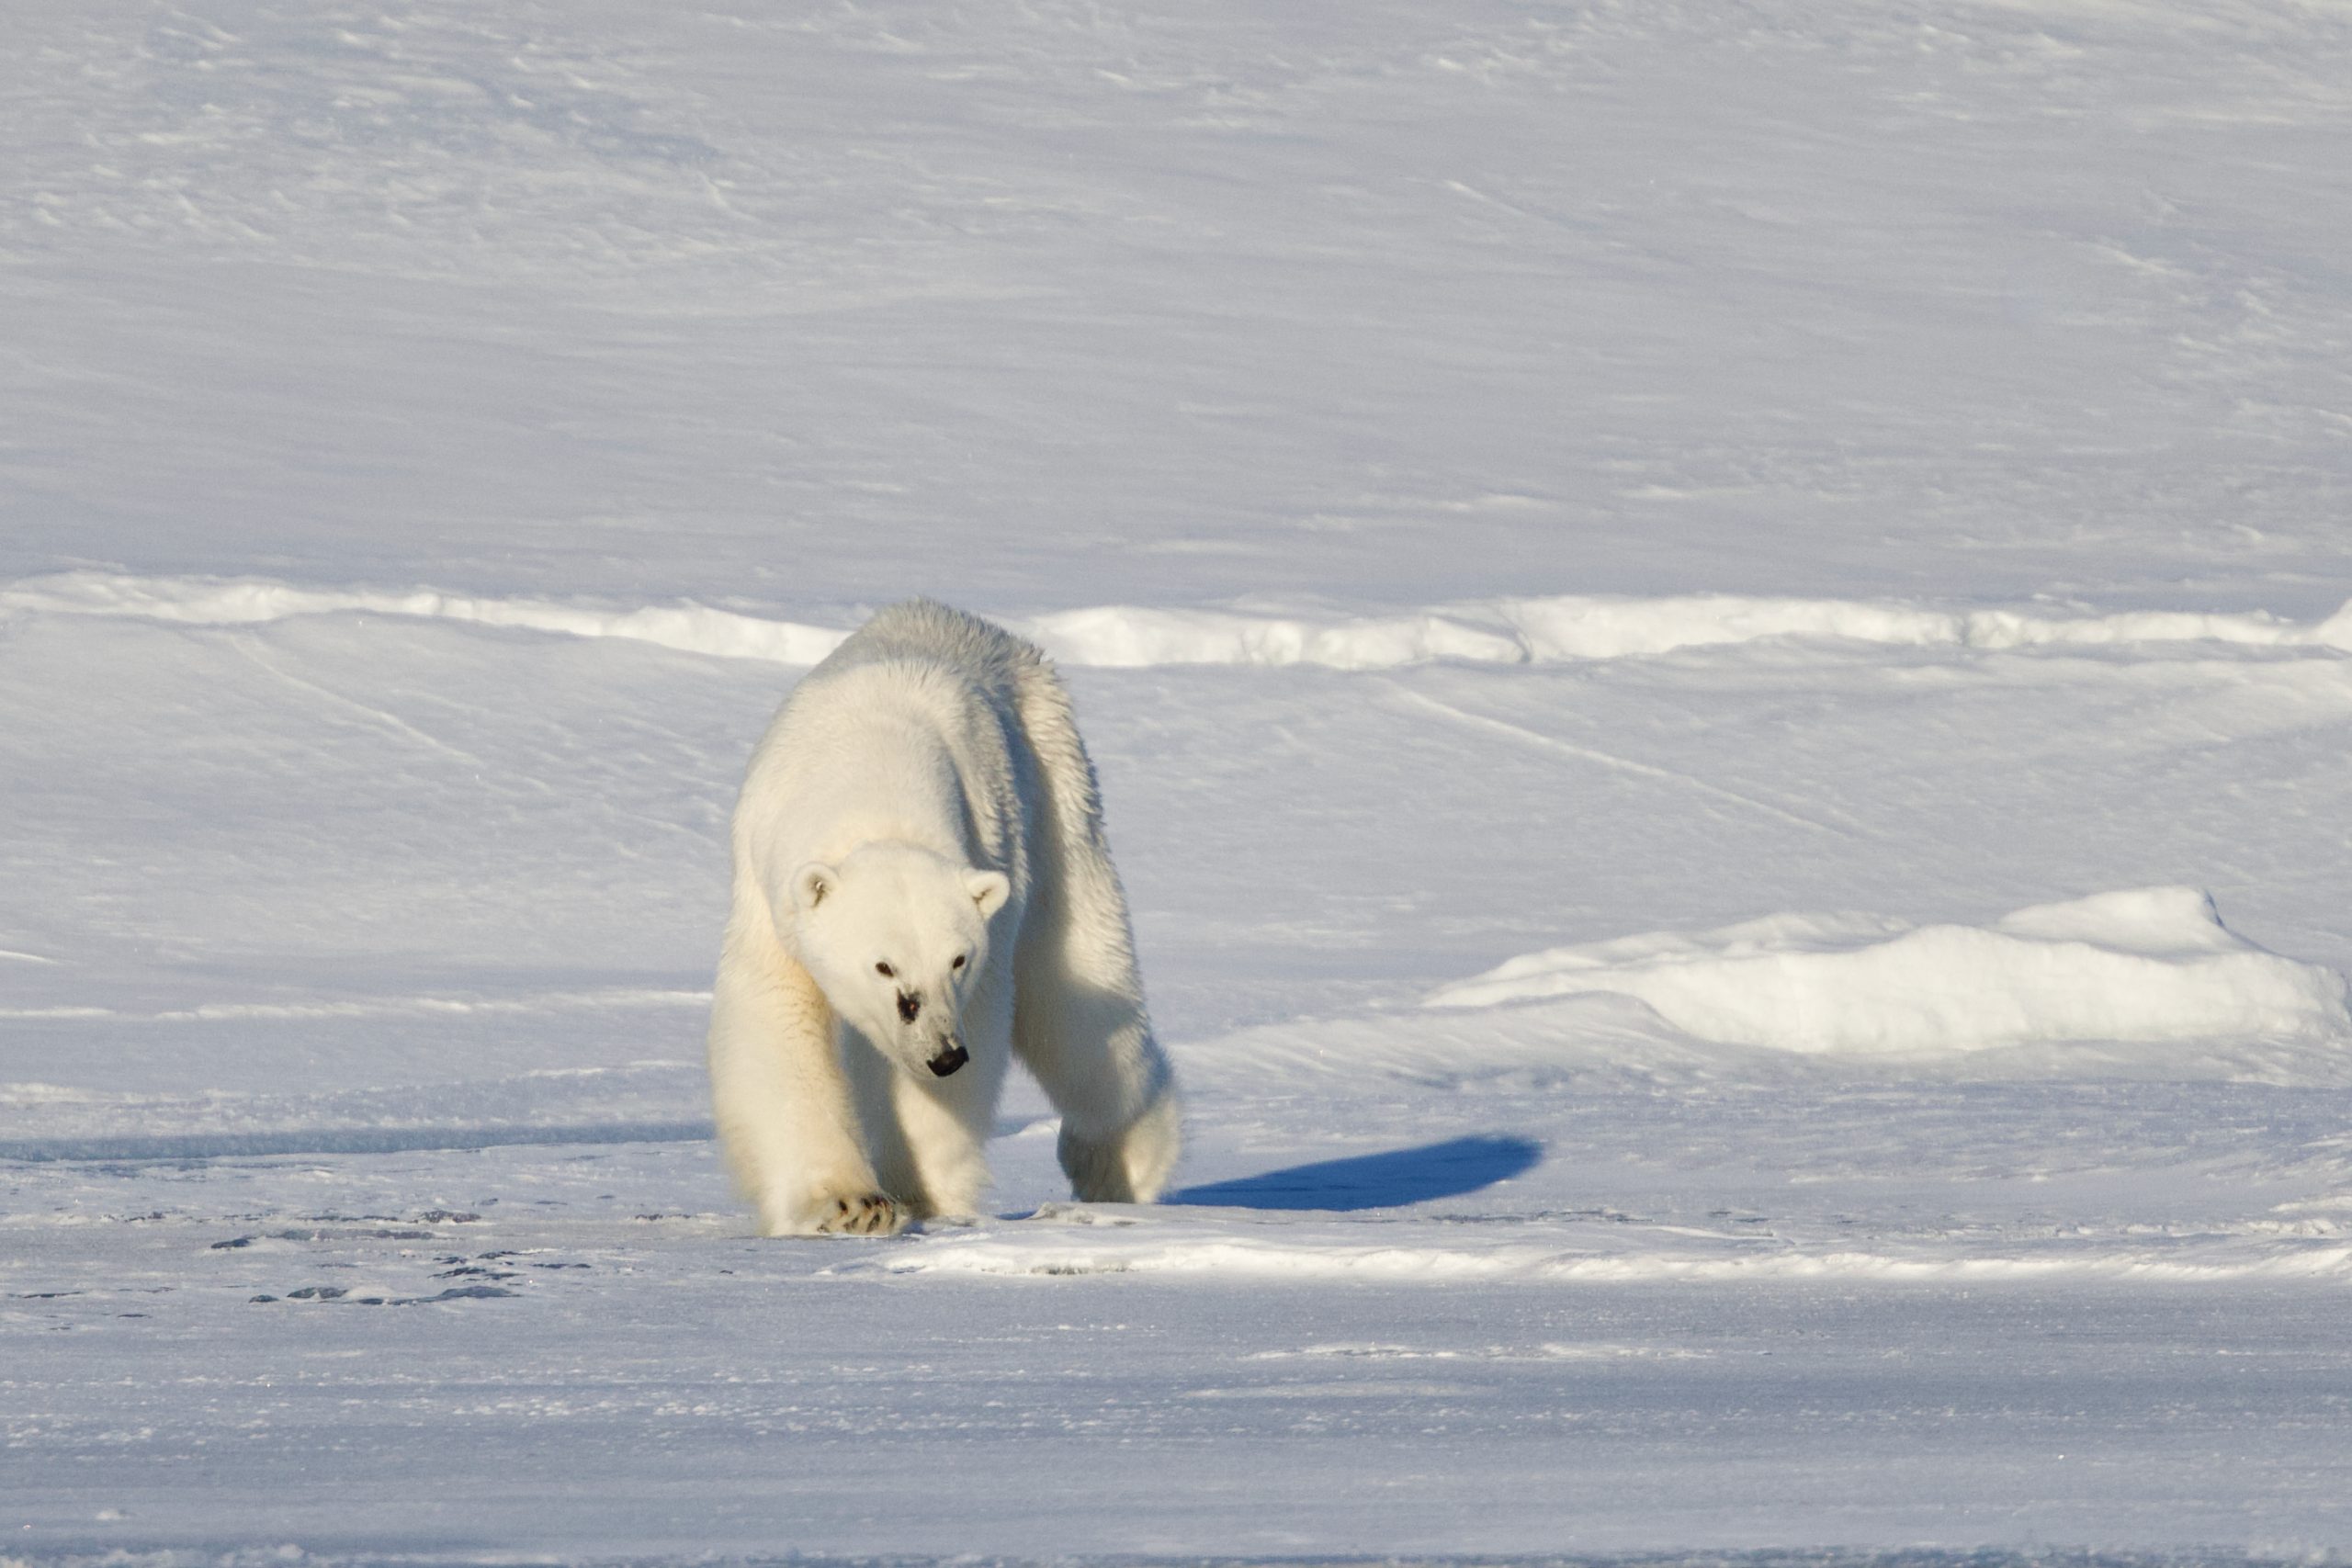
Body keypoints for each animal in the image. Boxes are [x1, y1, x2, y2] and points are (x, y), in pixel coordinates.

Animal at [695, 602, 1176, 1241]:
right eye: (882, 965)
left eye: (957, 959)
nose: (943, 1055)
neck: (874, 770)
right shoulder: (770, 887)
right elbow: (777, 1018)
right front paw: (850, 1205)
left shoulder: (992, 874)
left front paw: (920, 1196)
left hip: (1056, 791)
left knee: (1075, 993)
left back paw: (1123, 1164)